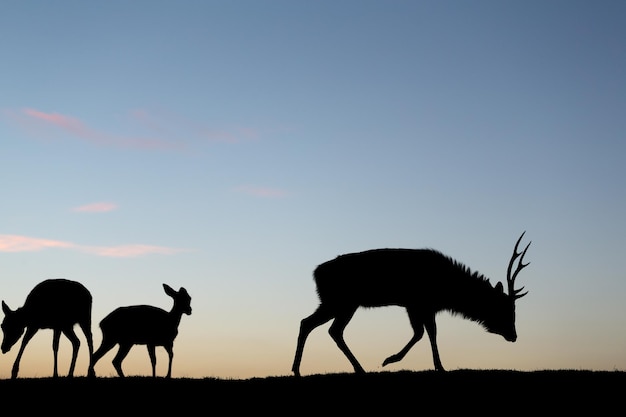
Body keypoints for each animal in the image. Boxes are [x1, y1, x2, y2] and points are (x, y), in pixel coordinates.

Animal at [290, 231, 528, 374]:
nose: (514, 336)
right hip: (340, 301)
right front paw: (395, 360)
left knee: (320, 326)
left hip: (340, 303)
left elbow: (423, 332)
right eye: (505, 309)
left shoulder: (416, 305)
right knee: (320, 326)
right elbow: (427, 332)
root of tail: (316, 273)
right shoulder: (420, 303)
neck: (448, 289)